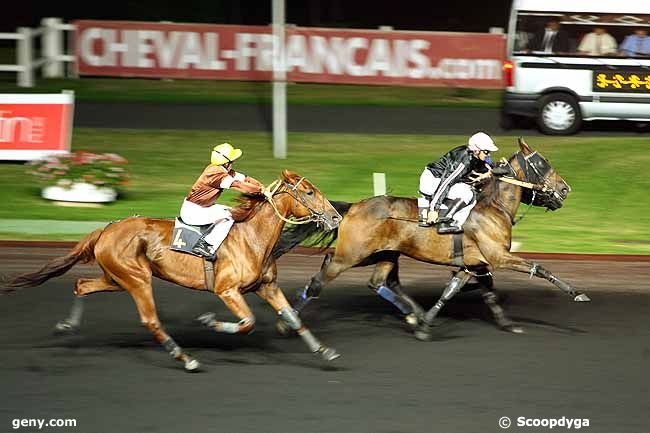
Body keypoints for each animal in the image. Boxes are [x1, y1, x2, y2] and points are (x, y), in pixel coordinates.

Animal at [3, 170, 340, 370]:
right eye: (309, 192)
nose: (336, 217)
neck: (252, 237)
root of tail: (107, 229)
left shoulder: (266, 286)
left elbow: (293, 318)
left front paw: (324, 351)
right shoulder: (227, 290)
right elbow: (247, 321)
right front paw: (209, 321)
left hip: (116, 278)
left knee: (82, 285)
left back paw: (67, 325)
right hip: (137, 278)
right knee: (151, 320)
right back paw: (185, 358)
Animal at [278, 137, 588, 340]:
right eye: (543, 163)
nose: (566, 189)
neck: (493, 208)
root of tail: (353, 207)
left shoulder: (474, 264)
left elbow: (469, 291)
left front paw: (505, 323)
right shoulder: (498, 257)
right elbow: (540, 268)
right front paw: (576, 292)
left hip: (383, 254)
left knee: (378, 282)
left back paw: (412, 313)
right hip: (352, 254)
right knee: (321, 278)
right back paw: (288, 322)